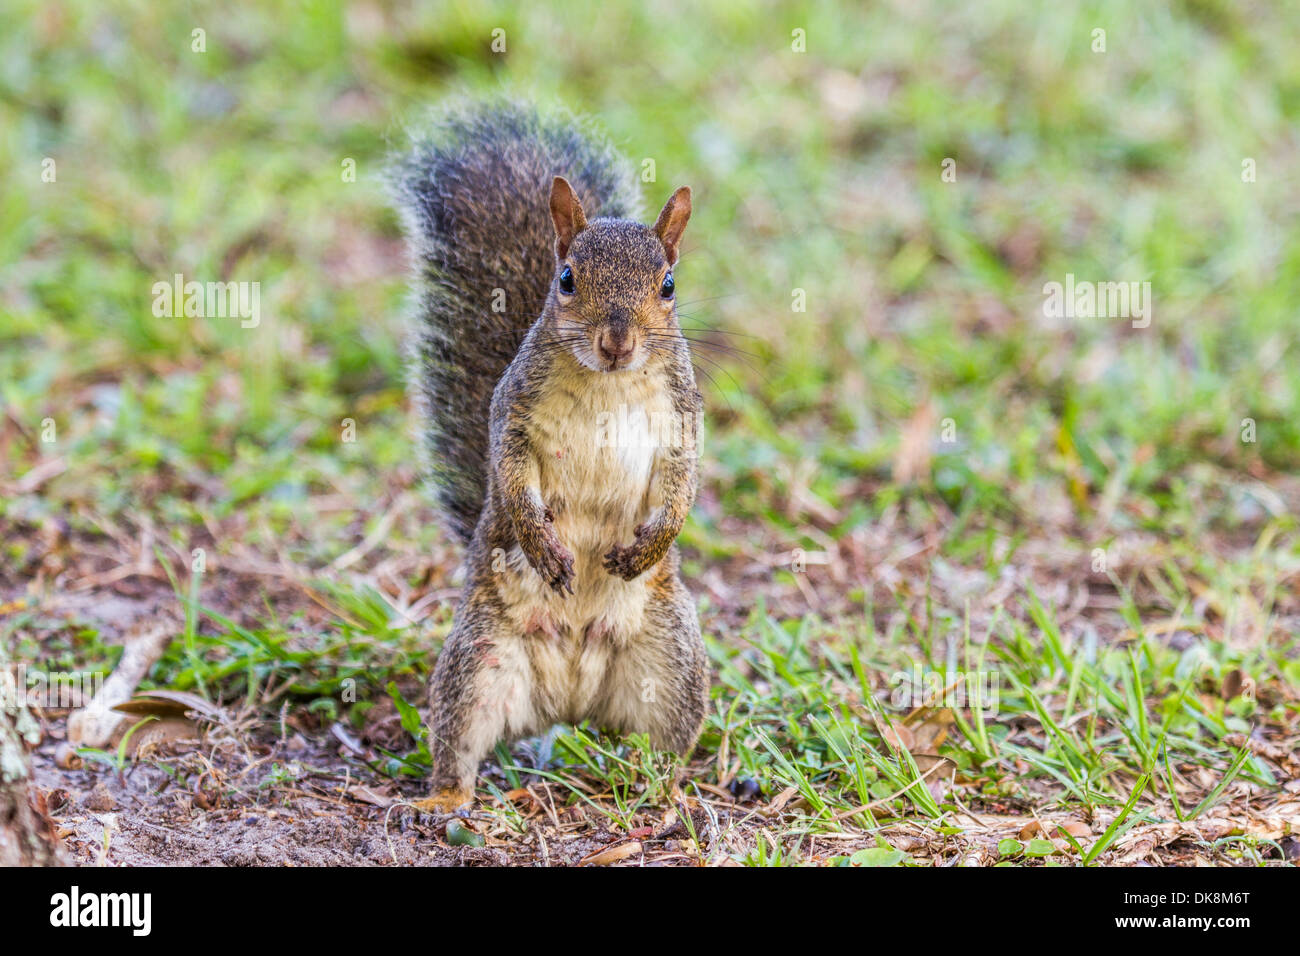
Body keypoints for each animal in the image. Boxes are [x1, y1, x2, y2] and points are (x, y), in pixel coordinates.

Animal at [387, 102, 707, 806]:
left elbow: (679, 488)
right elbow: (508, 474)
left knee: (668, 743)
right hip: (480, 662)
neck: (609, 382)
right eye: (566, 279)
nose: (617, 341)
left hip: (670, 663)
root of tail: (571, 702)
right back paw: (445, 798)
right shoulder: (514, 414)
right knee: (459, 743)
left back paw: (663, 791)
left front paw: (649, 545)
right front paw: (543, 546)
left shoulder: (680, 422)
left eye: (669, 285)